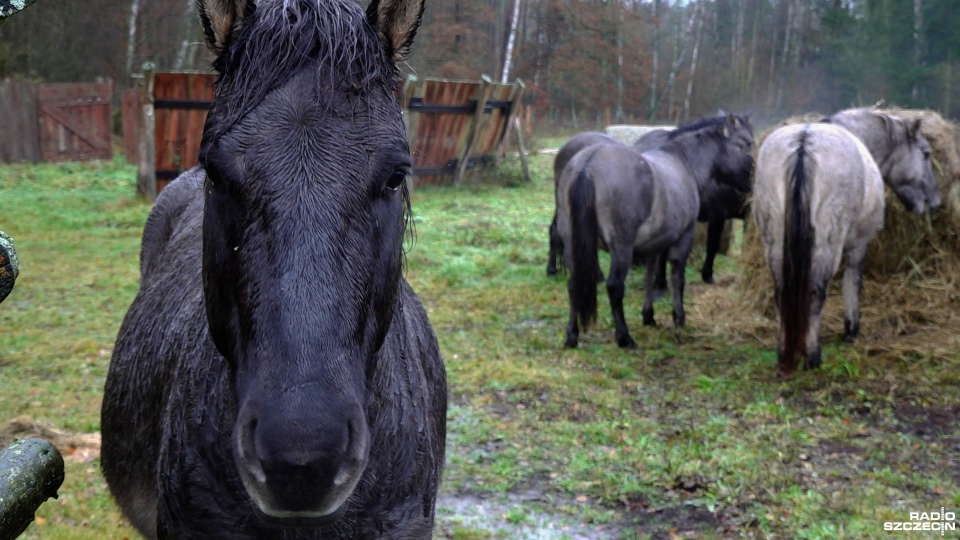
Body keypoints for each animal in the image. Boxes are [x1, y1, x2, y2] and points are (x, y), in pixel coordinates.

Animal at [556, 115, 756, 348]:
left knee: (574, 284)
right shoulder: (683, 239)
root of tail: (588, 163)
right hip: (621, 249)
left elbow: (649, 279)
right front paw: (679, 318)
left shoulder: (652, 247)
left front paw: (648, 316)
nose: (753, 181)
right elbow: (677, 279)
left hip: (573, 245)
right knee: (615, 286)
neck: (682, 163)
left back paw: (572, 336)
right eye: (746, 142)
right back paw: (624, 337)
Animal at [752, 109, 940, 376]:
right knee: (815, 293)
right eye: (925, 153)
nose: (935, 202)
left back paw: (783, 355)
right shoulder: (858, 245)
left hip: (776, 244)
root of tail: (803, 145)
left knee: (781, 292)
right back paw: (813, 356)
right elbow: (853, 283)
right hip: (827, 246)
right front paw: (851, 329)